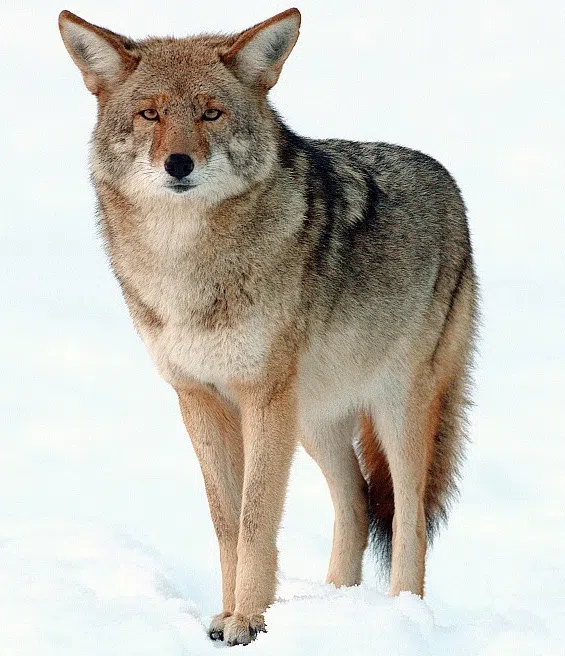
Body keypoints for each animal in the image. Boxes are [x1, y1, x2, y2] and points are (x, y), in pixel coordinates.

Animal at [58, 7, 477, 646]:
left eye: (211, 113)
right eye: (151, 113)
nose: (178, 164)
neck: (186, 266)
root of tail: (451, 187)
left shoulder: (262, 397)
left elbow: (256, 521)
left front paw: (249, 621)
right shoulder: (200, 399)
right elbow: (226, 522)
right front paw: (230, 614)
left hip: (393, 412)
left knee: (408, 520)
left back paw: (403, 616)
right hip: (312, 421)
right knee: (357, 502)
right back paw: (337, 605)